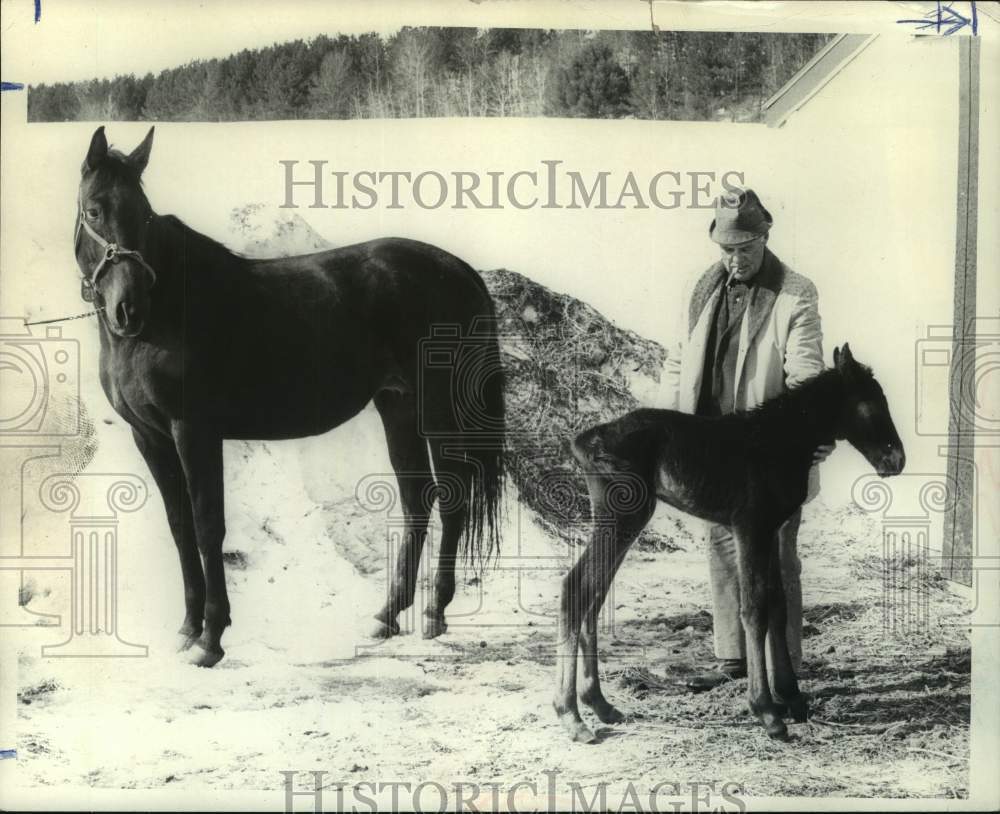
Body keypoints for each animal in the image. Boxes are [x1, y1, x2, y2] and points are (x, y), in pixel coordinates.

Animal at [73, 126, 505, 667]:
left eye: (144, 214)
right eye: (94, 210)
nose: (127, 309)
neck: (168, 311)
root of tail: (461, 271)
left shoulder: (194, 431)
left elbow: (207, 525)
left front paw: (211, 638)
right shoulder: (149, 436)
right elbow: (179, 528)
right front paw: (188, 628)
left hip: (437, 409)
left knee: (451, 499)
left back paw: (433, 612)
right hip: (398, 405)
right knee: (416, 502)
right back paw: (387, 615)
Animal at [554, 344, 905, 742]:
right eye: (871, 403)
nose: (896, 459)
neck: (781, 441)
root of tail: (584, 440)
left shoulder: (771, 530)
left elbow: (778, 605)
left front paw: (792, 697)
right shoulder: (749, 527)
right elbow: (753, 609)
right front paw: (767, 711)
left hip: (621, 521)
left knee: (593, 595)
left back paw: (599, 704)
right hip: (624, 517)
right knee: (576, 587)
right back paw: (571, 714)